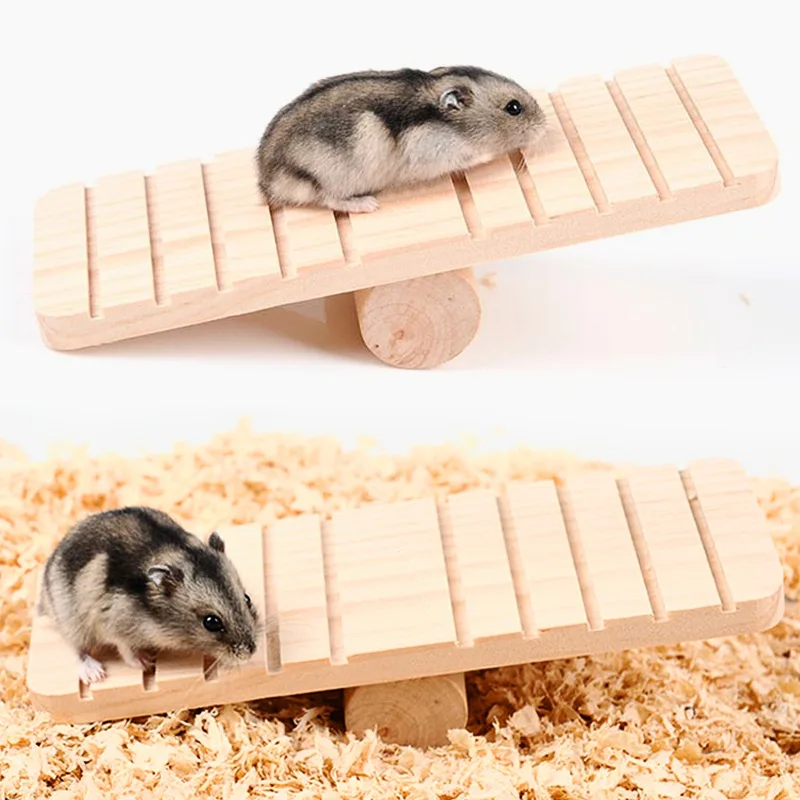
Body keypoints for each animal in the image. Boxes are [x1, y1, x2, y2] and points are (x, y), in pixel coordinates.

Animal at [39, 506, 260, 685]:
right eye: (211, 622)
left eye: (247, 599)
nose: (250, 652)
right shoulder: (112, 625)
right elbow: (126, 649)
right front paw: (146, 662)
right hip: (71, 620)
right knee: (77, 649)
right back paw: (95, 674)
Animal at [256, 65, 547, 214]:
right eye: (513, 108)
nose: (545, 126)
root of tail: (267, 183)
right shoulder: (434, 155)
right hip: (326, 178)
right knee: (329, 199)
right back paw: (369, 204)